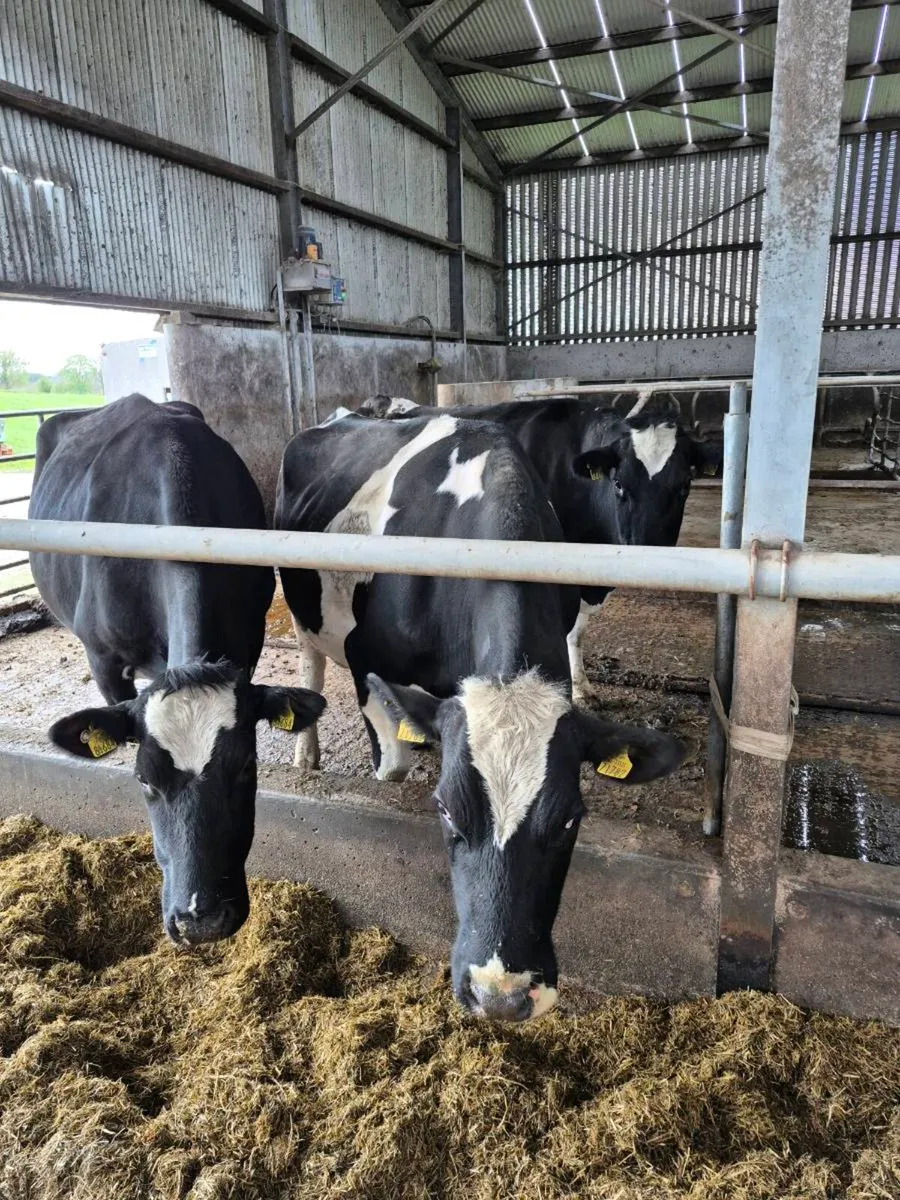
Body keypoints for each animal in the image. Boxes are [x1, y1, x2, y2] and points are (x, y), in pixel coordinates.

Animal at [275, 412, 684, 1021]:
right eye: (444, 809)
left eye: (571, 819)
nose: (501, 996)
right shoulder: (366, 660)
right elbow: (390, 766)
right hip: (302, 608)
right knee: (310, 666)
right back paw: (306, 753)